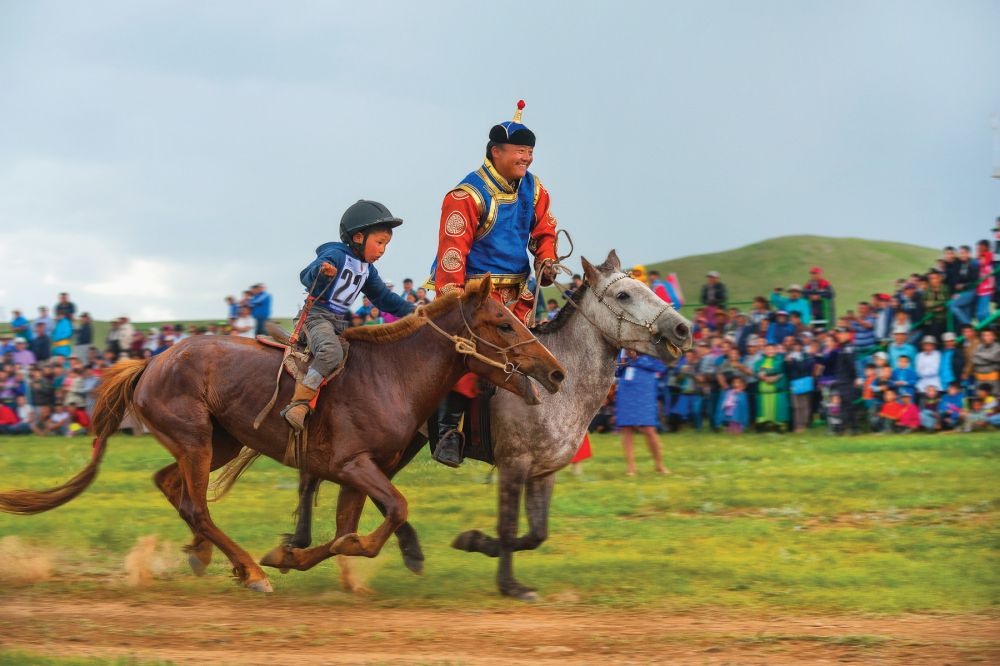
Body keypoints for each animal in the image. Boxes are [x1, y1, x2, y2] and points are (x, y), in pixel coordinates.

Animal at [0, 276, 564, 592]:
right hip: (196, 440)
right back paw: (250, 571)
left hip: (216, 441)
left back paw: (206, 555)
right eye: (503, 323)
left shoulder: (358, 474)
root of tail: (151, 361)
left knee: (173, 487)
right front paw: (284, 557)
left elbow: (347, 533)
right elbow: (388, 517)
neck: (391, 375)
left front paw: (295, 554)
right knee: (197, 505)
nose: (556, 372)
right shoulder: (354, 466)